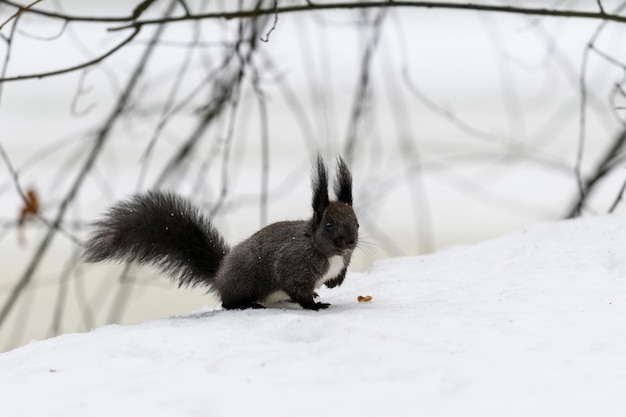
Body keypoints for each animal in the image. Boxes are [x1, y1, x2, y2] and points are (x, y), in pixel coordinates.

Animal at [82, 156, 356, 308]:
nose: (350, 243)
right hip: (245, 279)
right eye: (328, 225)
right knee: (227, 302)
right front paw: (313, 305)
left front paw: (333, 283)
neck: (323, 250)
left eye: (357, 222)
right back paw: (244, 306)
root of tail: (220, 274)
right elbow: (295, 284)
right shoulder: (293, 261)